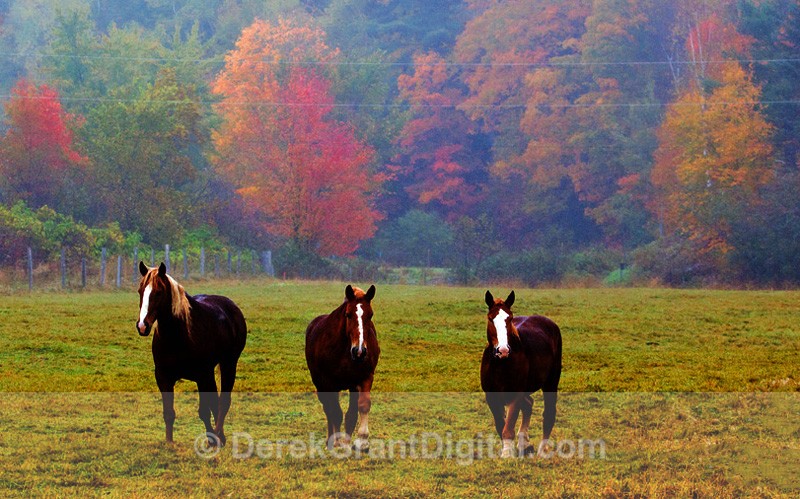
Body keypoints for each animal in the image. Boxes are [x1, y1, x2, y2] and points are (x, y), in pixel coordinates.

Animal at [136, 262, 247, 447]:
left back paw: (218, 434)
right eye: (140, 291)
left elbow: (204, 411)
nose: (142, 325)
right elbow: (169, 413)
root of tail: (231, 306)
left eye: (158, 292)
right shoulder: (164, 378)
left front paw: (213, 439)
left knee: (223, 402)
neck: (177, 336)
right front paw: (169, 443)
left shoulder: (202, 376)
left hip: (228, 364)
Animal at [305, 284, 380, 450]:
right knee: (328, 409)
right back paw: (331, 440)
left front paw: (361, 441)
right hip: (320, 384)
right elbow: (335, 412)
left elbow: (361, 407)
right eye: (348, 314)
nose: (359, 351)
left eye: (370, 315)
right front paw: (338, 442)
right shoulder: (328, 382)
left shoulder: (364, 378)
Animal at [480, 290, 562, 458]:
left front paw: (507, 455)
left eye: (510, 318)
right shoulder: (491, 396)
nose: (503, 350)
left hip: (551, 383)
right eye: (491, 318)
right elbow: (501, 425)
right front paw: (509, 450)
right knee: (529, 404)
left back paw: (542, 450)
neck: (501, 364)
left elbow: (508, 427)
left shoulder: (516, 394)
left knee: (548, 414)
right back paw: (525, 444)